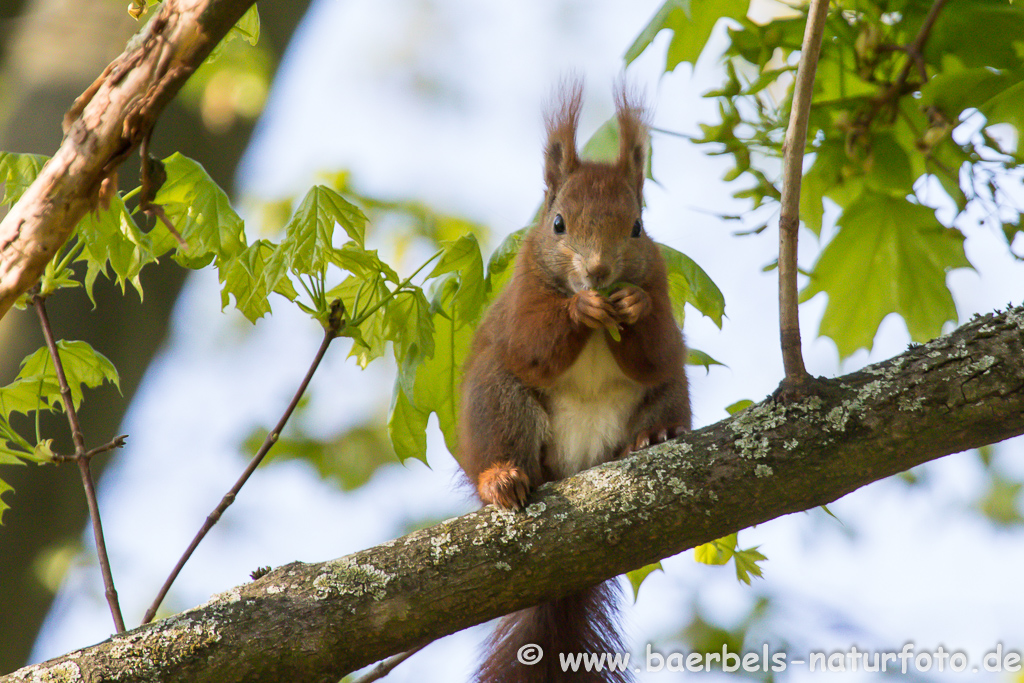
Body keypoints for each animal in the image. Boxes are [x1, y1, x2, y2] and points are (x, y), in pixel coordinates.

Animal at [460, 83, 692, 683]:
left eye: (636, 227)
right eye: (558, 224)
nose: (598, 272)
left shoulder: (660, 286)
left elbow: (658, 348)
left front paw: (632, 306)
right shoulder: (520, 296)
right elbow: (530, 342)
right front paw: (579, 310)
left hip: (670, 393)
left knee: (662, 396)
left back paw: (655, 437)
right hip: (499, 402)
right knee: (503, 441)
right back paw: (502, 479)